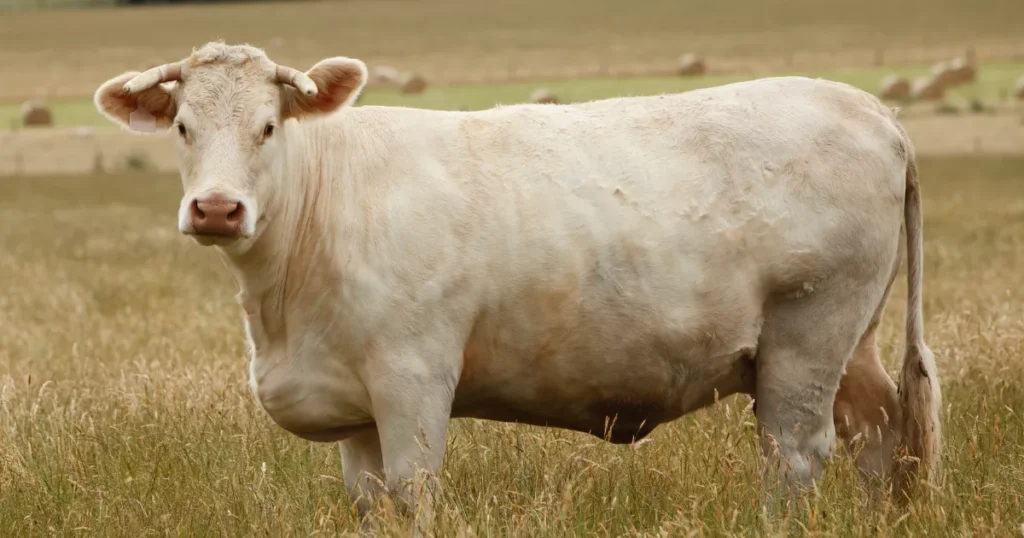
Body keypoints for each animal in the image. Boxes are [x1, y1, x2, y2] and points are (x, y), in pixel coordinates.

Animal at [92, 42, 937, 532]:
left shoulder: (413, 377)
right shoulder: (355, 405)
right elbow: (370, 503)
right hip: (850, 341)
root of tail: (870, 107)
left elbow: (413, 492)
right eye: (183, 128)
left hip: (808, 331)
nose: (217, 208)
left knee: (794, 455)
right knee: (880, 429)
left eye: (268, 127)